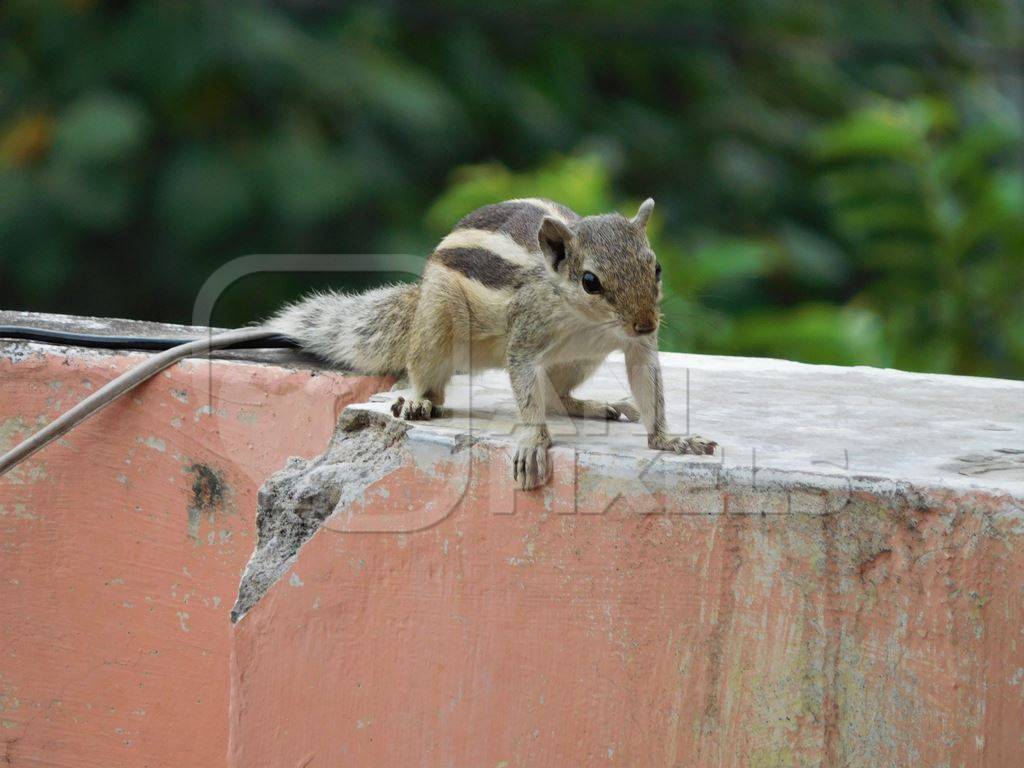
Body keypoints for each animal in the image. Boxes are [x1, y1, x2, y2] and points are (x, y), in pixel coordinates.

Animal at [0, 198, 716, 487]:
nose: (646, 321)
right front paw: (530, 441)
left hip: (579, 363)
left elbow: (649, 386)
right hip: (437, 326)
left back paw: (589, 405)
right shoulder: (526, 336)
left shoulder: (629, 348)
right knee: (430, 374)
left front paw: (669, 440)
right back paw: (420, 401)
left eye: (655, 268)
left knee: (562, 392)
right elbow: (523, 384)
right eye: (591, 280)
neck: (586, 316)